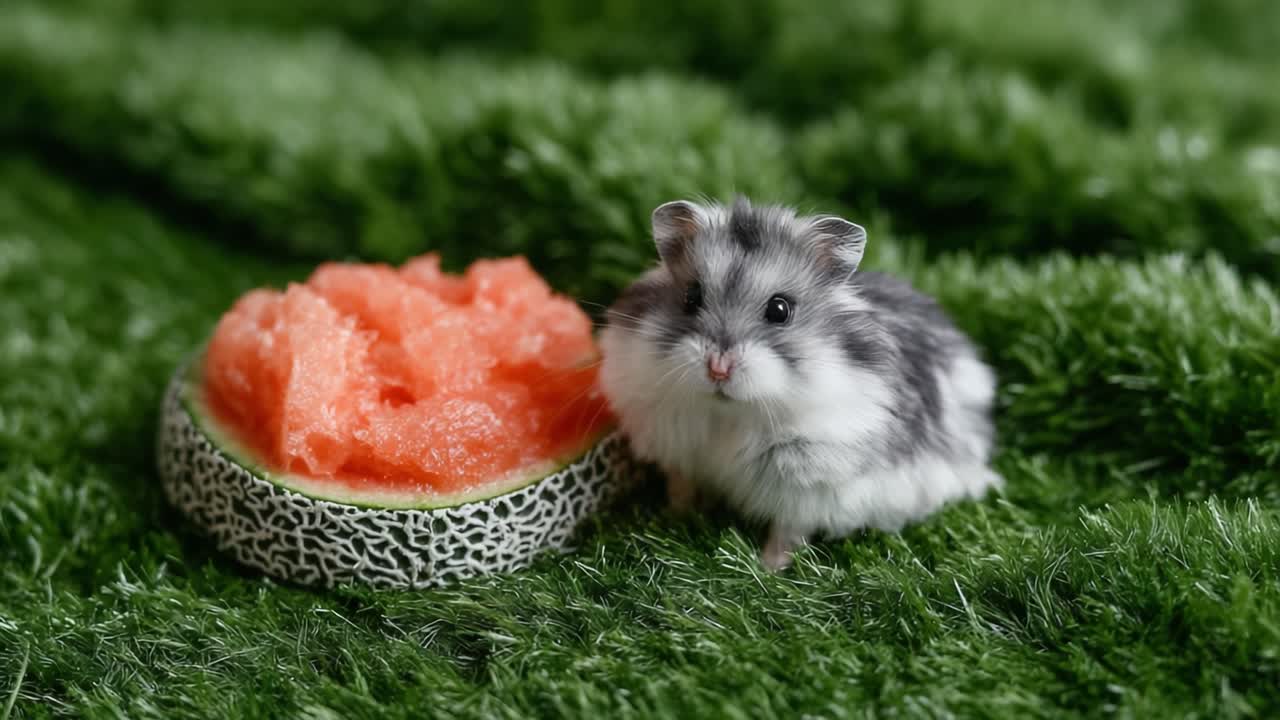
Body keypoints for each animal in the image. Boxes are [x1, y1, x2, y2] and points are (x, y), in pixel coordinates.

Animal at [599, 197, 1002, 570]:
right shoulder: (679, 452)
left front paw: (767, 570)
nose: (718, 369)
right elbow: (682, 492)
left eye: (780, 310)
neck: (731, 413)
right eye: (690, 297)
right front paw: (671, 523)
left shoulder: (807, 481)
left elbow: (788, 530)